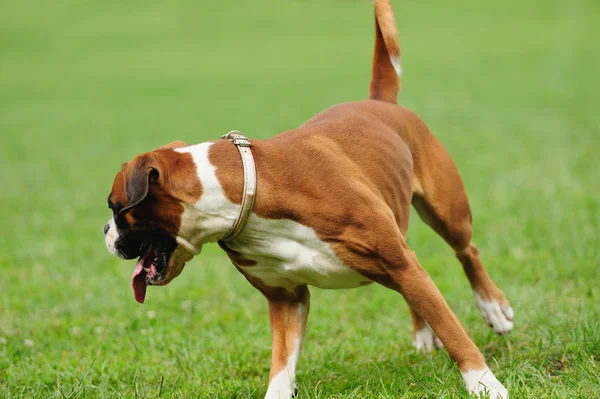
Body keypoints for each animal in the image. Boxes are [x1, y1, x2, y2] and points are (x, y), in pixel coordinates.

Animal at [103, 1, 510, 398]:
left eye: (115, 208)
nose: (105, 231)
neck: (250, 190)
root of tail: (381, 102)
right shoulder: (287, 299)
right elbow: (281, 367)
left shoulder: (398, 264)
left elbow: (452, 329)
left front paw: (483, 382)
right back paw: (424, 332)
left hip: (446, 215)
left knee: (467, 251)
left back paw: (493, 307)